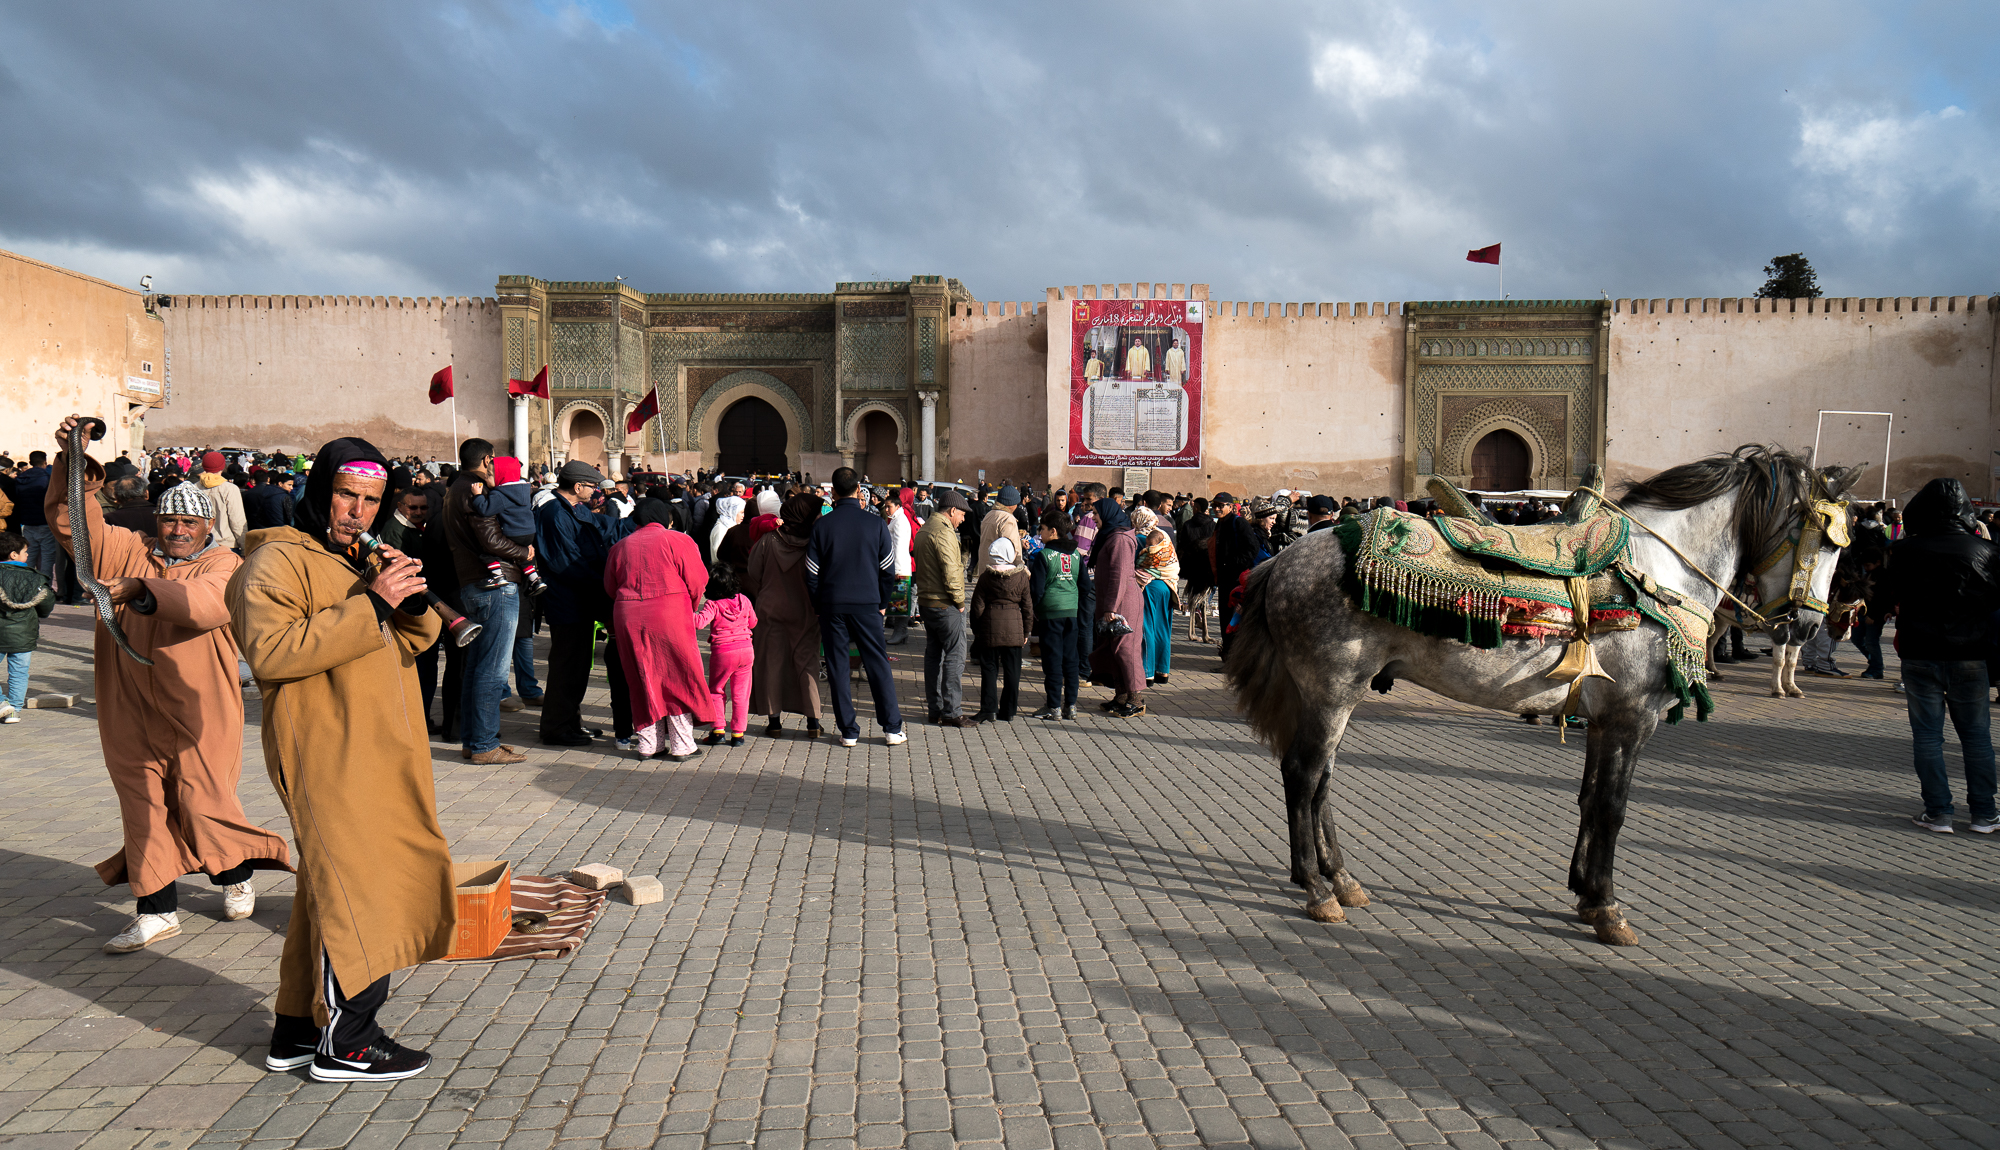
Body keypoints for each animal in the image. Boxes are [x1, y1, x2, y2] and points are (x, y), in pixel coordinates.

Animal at [1224, 448, 1848, 944]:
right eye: (1822, 538)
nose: (1806, 627)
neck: (1659, 575)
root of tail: (1284, 557)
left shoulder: (1602, 721)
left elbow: (1590, 800)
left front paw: (1585, 893)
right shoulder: (1632, 718)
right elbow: (1613, 807)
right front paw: (1608, 907)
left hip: (1332, 694)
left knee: (1321, 779)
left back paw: (1342, 879)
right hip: (1331, 690)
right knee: (1304, 774)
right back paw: (1315, 887)